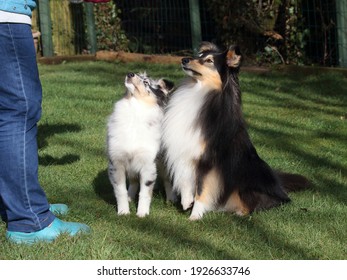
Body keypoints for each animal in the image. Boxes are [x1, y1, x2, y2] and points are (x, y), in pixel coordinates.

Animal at [107, 72, 174, 217]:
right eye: (137, 74)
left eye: (146, 82)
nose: (130, 74)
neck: (134, 111)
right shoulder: (117, 163)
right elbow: (121, 191)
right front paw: (123, 212)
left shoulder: (148, 165)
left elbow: (145, 192)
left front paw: (142, 213)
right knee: (133, 182)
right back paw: (130, 197)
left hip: (164, 162)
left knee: (168, 180)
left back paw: (171, 199)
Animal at [163, 42, 310, 221]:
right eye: (199, 56)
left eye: (209, 61)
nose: (184, 59)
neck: (199, 91)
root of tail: (279, 185)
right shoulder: (186, 150)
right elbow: (185, 179)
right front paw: (186, 202)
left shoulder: (209, 160)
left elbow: (202, 189)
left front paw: (195, 215)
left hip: (246, 185)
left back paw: (240, 213)